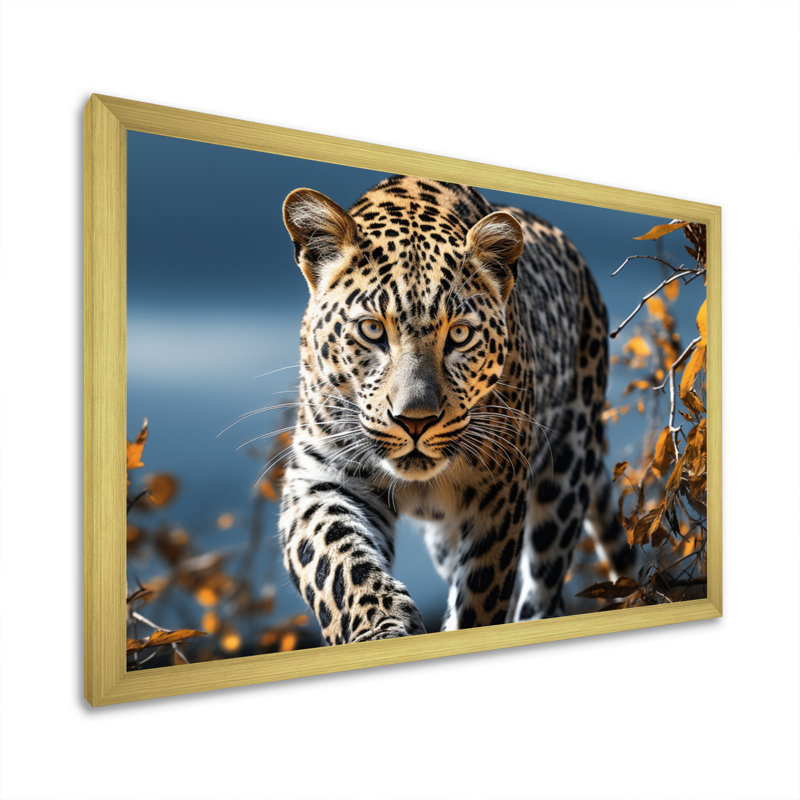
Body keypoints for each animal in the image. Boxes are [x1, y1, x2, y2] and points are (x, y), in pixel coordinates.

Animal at [276, 174, 634, 644]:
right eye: (371, 329)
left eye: (460, 335)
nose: (415, 421)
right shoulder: (322, 475)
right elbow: (335, 561)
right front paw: (380, 627)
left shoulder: (499, 492)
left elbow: (481, 593)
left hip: (565, 472)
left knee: (544, 588)